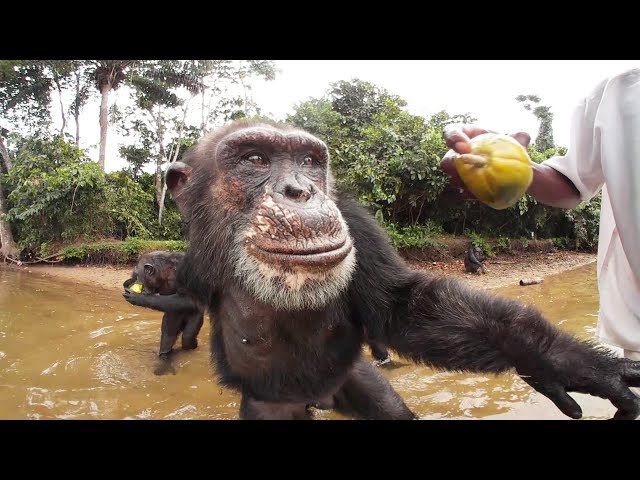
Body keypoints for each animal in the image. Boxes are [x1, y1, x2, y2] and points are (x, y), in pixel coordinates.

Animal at [124, 120, 640, 420]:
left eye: (308, 161)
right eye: (254, 158)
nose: (300, 190)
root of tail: (320, 397)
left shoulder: (357, 226)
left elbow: (403, 308)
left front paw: (566, 363)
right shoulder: (193, 260)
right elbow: (184, 301)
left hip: (352, 377)